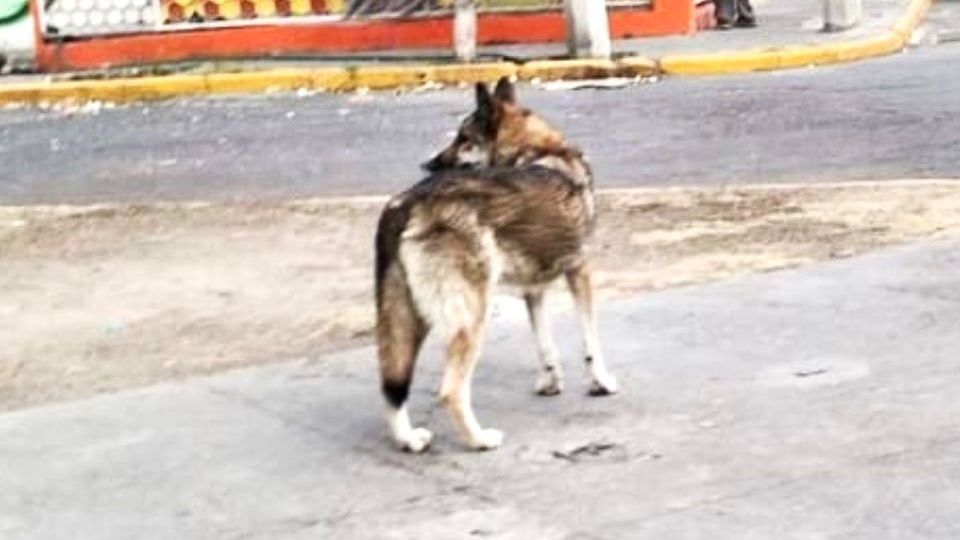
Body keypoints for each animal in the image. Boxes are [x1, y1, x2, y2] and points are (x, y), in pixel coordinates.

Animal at [376, 78, 616, 454]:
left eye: (463, 139)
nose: (426, 164)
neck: (536, 150)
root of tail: (404, 202)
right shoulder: (579, 272)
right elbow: (590, 344)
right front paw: (601, 383)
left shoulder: (533, 289)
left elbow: (545, 344)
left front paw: (550, 381)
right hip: (472, 317)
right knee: (451, 391)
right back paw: (480, 440)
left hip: (409, 318)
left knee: (392, 386)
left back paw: (410, 439)